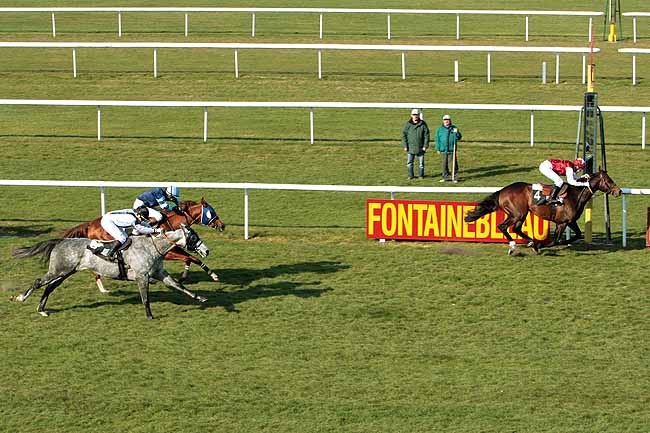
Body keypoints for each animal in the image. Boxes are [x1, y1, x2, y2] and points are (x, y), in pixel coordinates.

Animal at [12, 226, 208, 318]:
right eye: (193, 237)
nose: (206, 251)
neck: (151, 247)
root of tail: (60, 241)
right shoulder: (142, 276)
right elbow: (145, 298)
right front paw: (150, 316)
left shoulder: (160, 274)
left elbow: (179, 286)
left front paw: (200, 298)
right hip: (58, 270)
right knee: (39, 282)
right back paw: (22, 298)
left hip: (65, 272)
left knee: (49, 288)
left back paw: (42, 309)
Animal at [62, 198, 225, 290]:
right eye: (211, 212)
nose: (222, 225)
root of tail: (90, 224)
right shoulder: (168, 252)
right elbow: (190, 257)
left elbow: (191, 258)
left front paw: (202, 275)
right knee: (95, 270)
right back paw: (103, 289)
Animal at [464, 169, 620, 255]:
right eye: (609, 180)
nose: (618, 191)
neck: (574, 195)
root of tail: (503, 191)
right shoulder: (562, 223)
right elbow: (555, 240)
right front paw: (540, 246)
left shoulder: (570, 221)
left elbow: (577, 235)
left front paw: (562, 242)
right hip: (517, 213)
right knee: (503, 226)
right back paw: (515, 246)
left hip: (522, 213)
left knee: (516, 228)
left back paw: (530, 242)